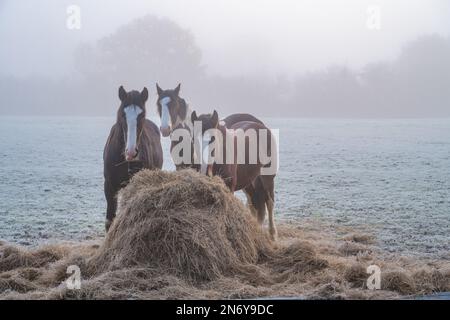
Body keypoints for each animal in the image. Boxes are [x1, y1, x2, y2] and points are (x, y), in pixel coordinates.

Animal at [190, 111, 278, 239]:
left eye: (213, 138)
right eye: (194, 139)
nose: (204, 171)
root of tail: (261, 126)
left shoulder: (229, 187)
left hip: (267, 178)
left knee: (269, 203)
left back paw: (272, 235)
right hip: (249, 181)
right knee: (255, 205)